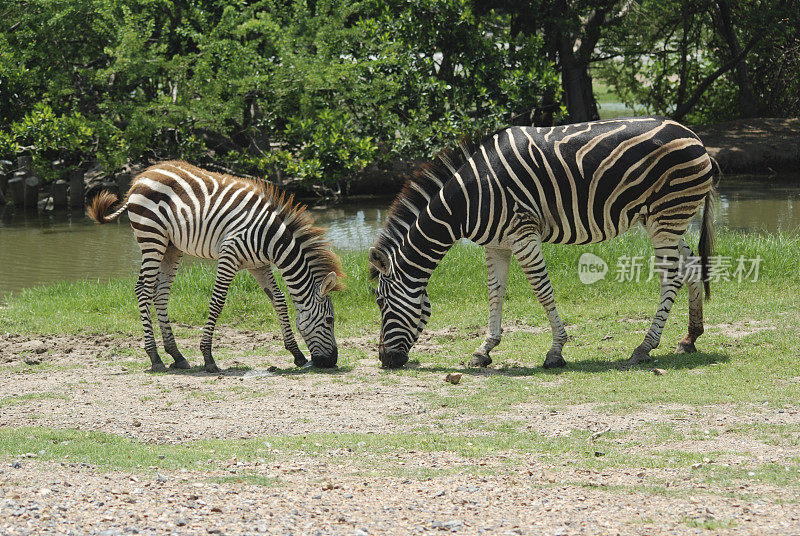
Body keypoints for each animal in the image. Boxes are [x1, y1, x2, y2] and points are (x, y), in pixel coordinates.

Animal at [88, 161, 344, 374]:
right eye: (330, 321)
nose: (331, 362)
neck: (270, 241)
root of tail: (141, 177)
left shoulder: (258, 266)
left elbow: (279, 300)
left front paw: (297, 354)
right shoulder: (229, 256)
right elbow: (217, 302)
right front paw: (208, 357)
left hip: (171, 246)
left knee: (159, 294)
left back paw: (176, 355)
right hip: (152, 237)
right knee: (143, 290)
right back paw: (155, 358)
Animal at [372, 117, 716, 368]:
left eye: (381, 303)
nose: (385, 360)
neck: (469, 200)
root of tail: (695, 137)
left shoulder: (523, 234)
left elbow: (542, 290)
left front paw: (555, 352)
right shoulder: (496, 245)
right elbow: (494, 293)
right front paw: (484, 349)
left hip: (667, 216)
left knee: (671, 276)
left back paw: (645, 346)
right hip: (663, 221)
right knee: (691, 266)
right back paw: (690, 337)